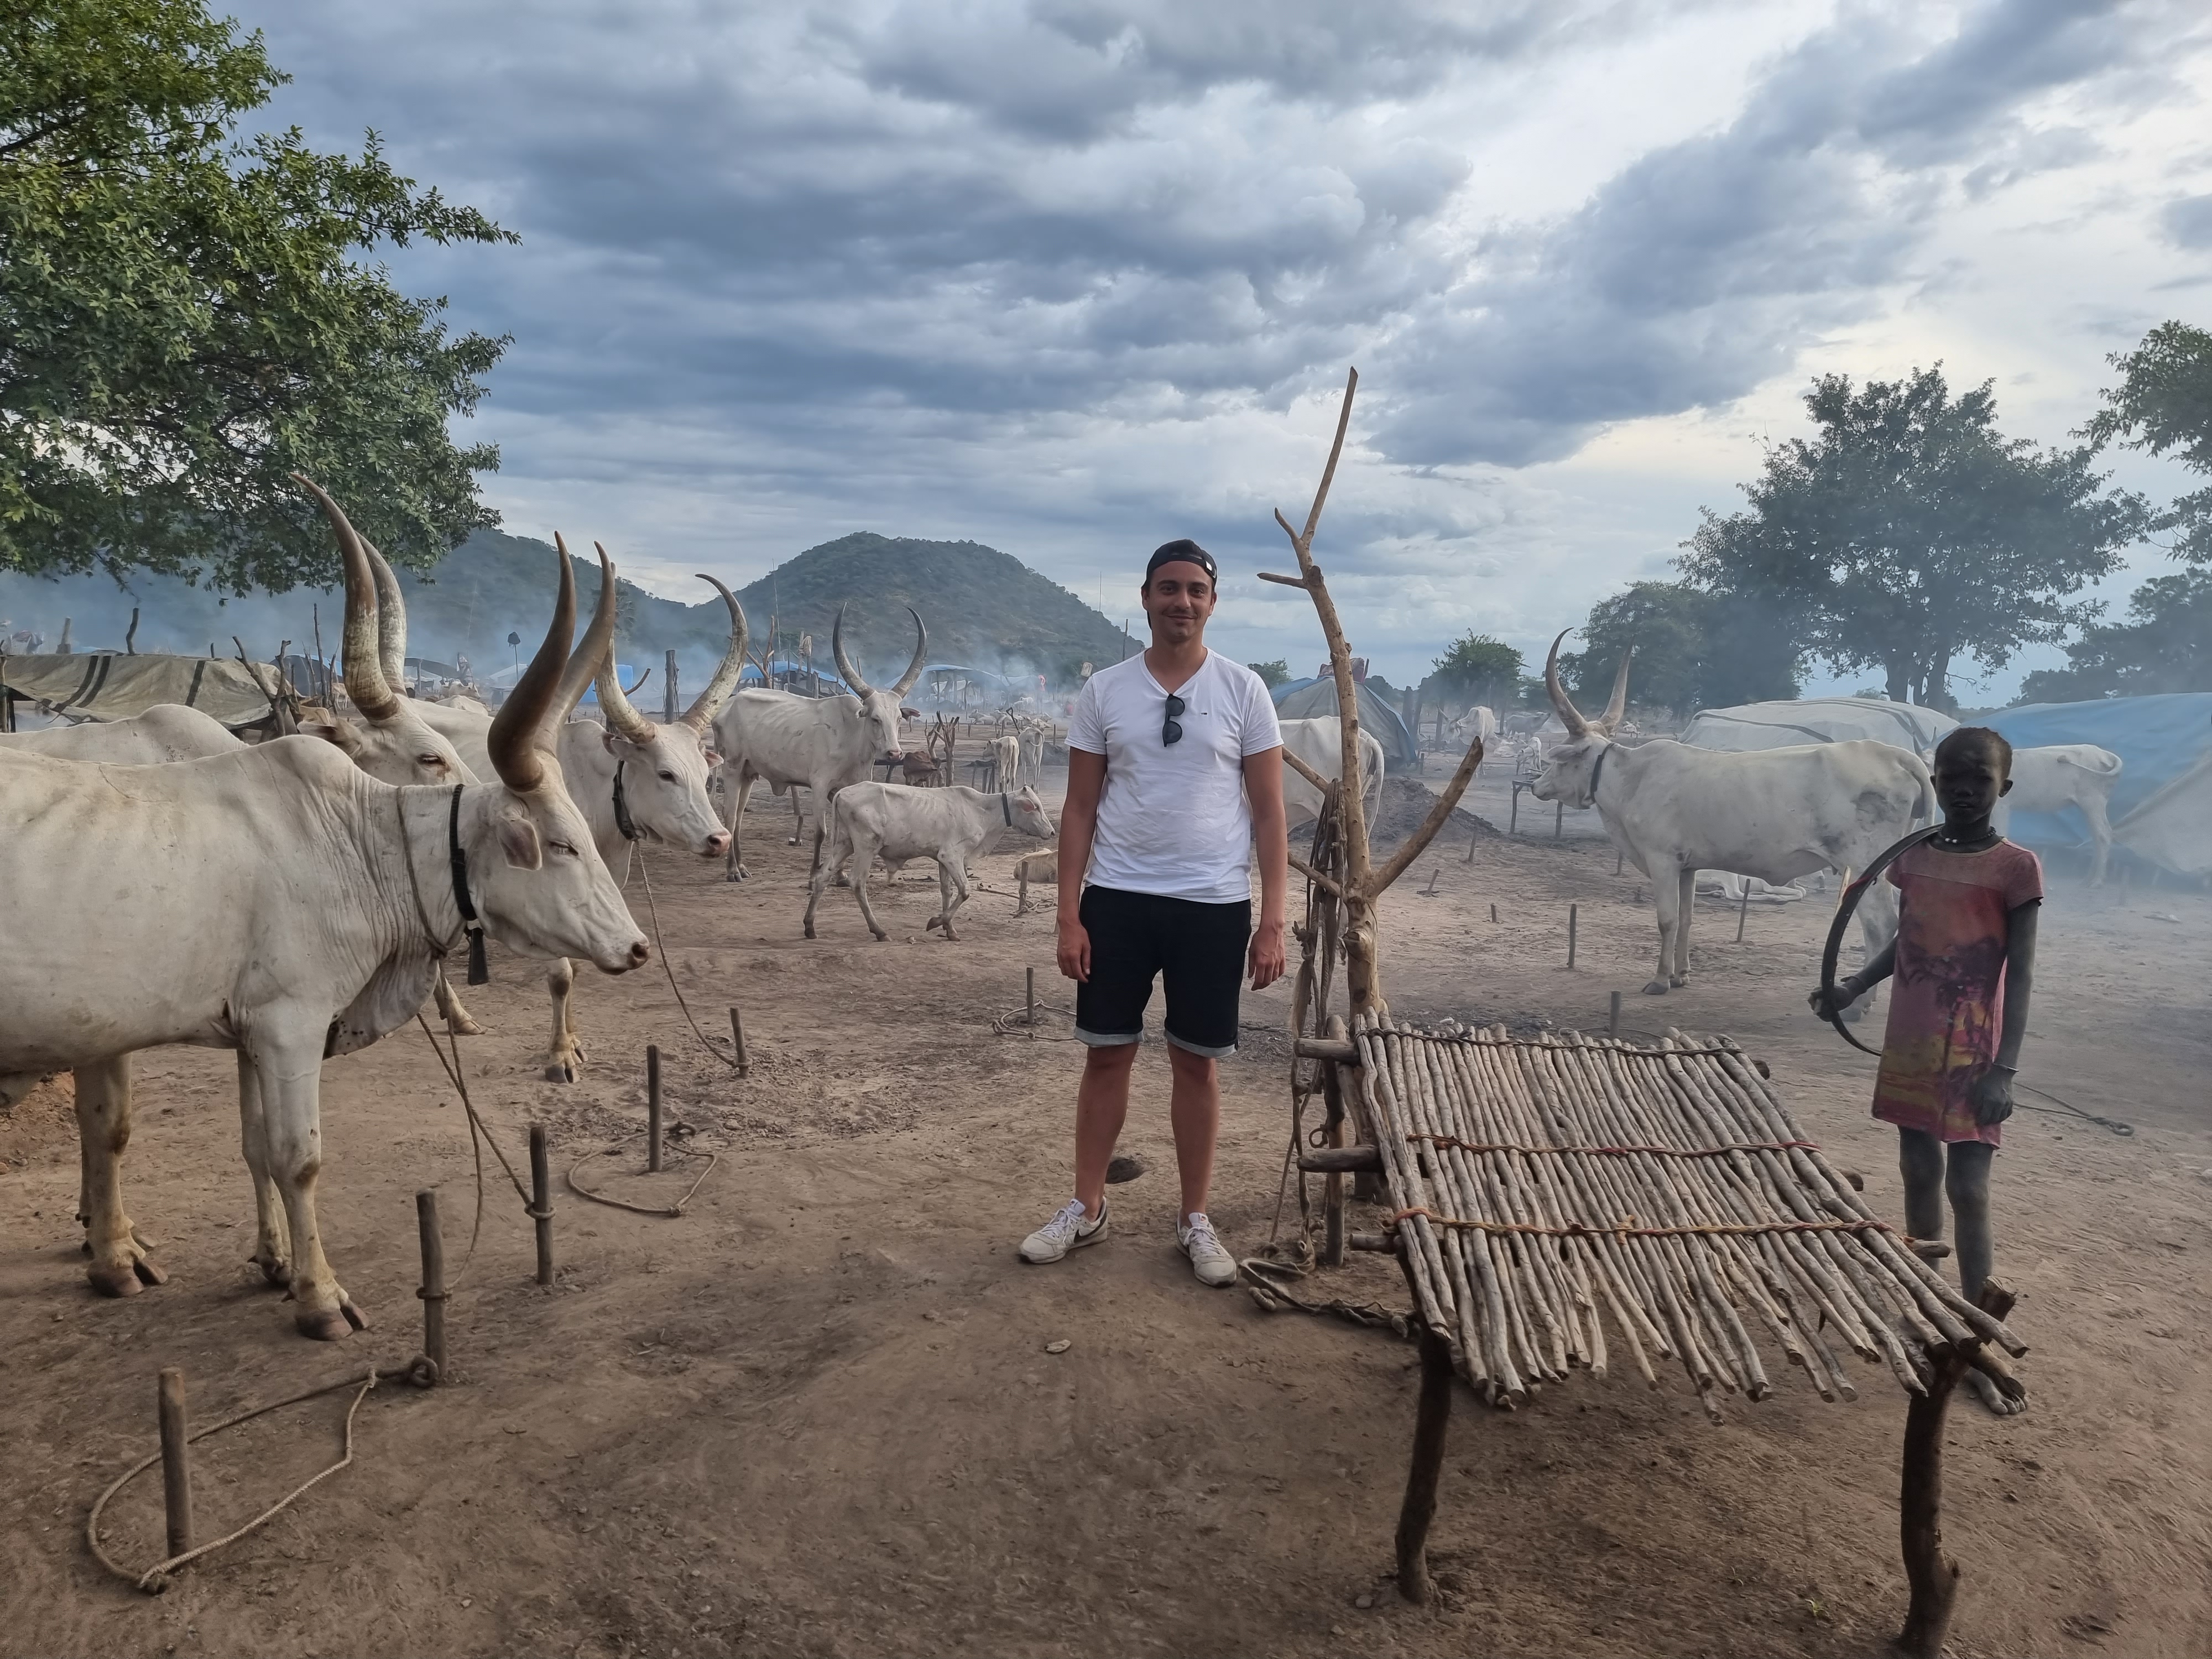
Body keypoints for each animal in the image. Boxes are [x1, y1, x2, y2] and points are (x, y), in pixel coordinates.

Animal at [0, 553, 646, 1345]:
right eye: (559, 845)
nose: (635, 947)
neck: (358, 843)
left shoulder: (242, 1029)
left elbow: (246, 1145)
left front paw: (264, 1262)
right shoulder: (289, 1023)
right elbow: (296, 1159)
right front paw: (319, 1296)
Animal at [703, 602, 920, 885]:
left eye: (898, 719)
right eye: (875, 718)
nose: (894, 754)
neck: (852, 740)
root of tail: (726, 707)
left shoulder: (846, 790)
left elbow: (842, 835)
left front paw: (840, 875)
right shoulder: (819, 785)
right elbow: (821, 831)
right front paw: (815, 874)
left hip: (748, 773)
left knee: (739, 817)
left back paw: (741, 866)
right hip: (732, 767)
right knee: (729, 816)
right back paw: (732, 871)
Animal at [1531, 633, 1929, 1000]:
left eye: (1562, 761)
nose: (1536, 786)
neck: (1632, 777)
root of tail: (1896, 755)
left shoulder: (1662, 860)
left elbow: (1667, 919)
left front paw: (1660, 980)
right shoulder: (1688, 867)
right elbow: (1687, 919)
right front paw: (1681, 974)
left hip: (1863, 864)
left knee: (1880, 925)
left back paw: (1859, 1004)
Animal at [1991, 748, 2124, 889]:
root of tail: (2105, 754)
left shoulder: (2002, 805)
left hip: (2093, 798)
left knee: (2103, 835)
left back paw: (2096, 882)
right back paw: (2087, 880)